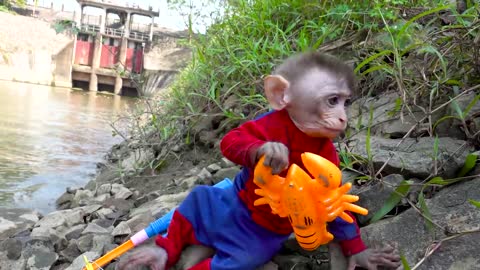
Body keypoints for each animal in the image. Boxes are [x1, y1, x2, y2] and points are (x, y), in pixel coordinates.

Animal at [116, 51, 402, 268]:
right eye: (333, 100)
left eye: (346, 102)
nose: (343, 118)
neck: (300, 131)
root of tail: (216, 237)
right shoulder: (267, 122)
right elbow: (234, 137)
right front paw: (271, 150)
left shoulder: (328, 155)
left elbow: (341, 212)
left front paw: (362, 254)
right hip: (209, 204)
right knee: (192, 205)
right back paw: (159, 252)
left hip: (246, 249)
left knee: (225, 263)